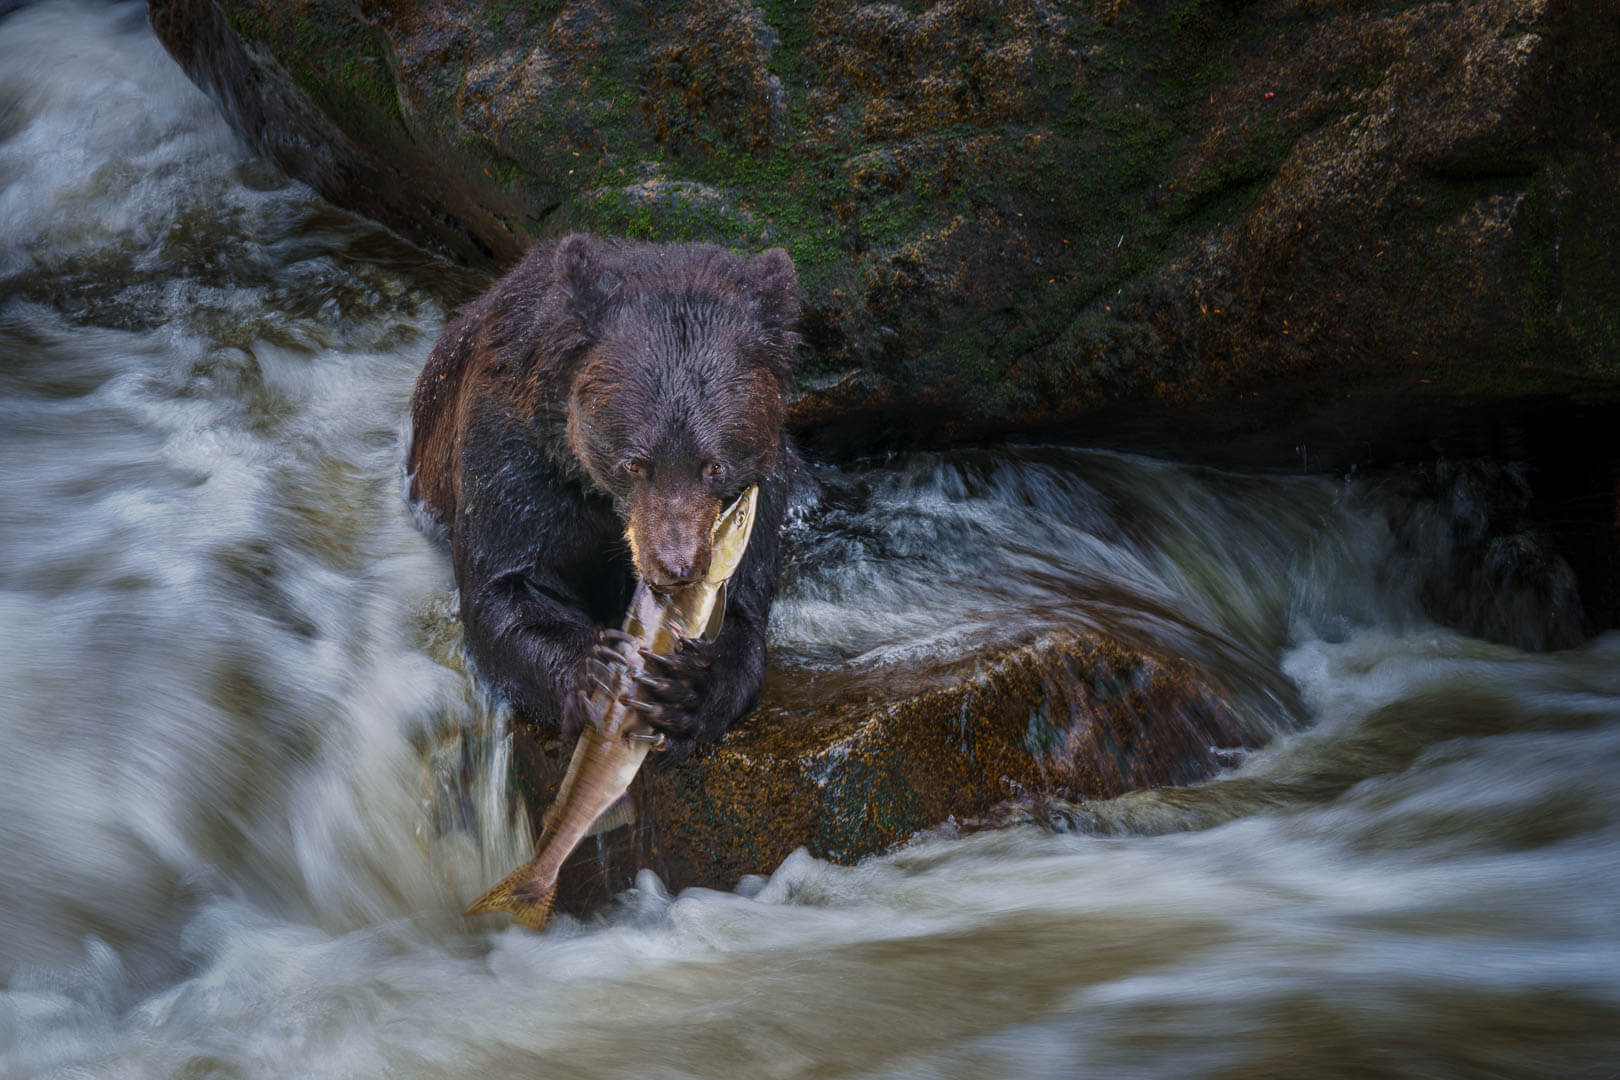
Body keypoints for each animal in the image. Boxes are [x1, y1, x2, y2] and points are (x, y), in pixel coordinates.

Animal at [407, 234, 801, 758]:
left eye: (714, 465)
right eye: (634, 462)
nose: (675, 566)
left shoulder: (763, 491)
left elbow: (742, 613)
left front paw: (685, 690)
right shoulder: (512, 455)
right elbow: (504, 585)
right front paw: (594, 670)